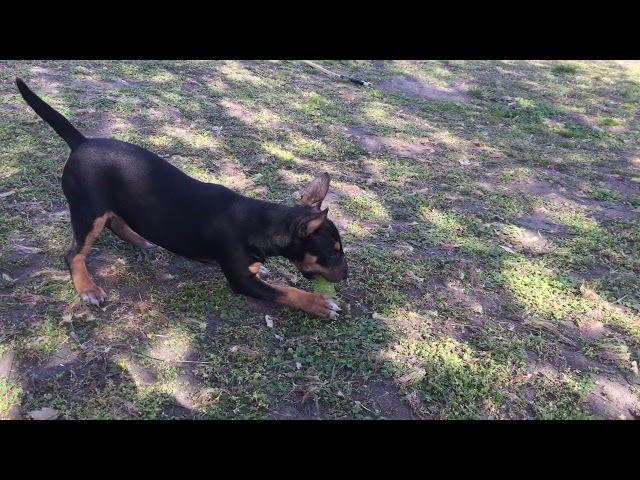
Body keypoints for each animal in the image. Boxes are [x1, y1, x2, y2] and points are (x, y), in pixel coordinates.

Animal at [16, 77, 350, 318]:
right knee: (74, 253)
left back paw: (140, 240)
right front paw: (320, 303)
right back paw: (87, 287)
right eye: (333, 253)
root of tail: (81, 142)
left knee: (116, 222)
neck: (260, 222)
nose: (346, 276)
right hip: (88, 212)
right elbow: (286, 292)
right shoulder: (241, 282)